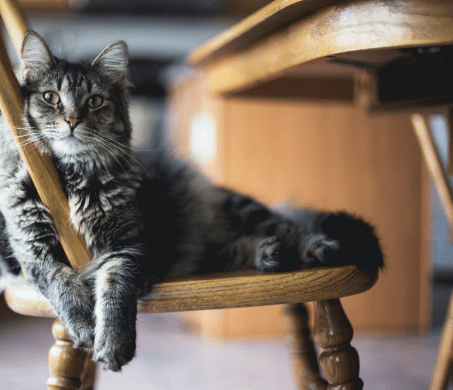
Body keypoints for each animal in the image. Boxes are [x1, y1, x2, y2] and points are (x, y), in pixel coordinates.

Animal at [0, 31, 384, 372]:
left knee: (291, 227)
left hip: (242, 212)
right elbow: (62, 286)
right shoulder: (35, 252)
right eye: (50, 97)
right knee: (233, 249)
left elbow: (114, 294)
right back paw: (267, 254)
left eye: (94, 101)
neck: (70, 178)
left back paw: (316, 248)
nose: (71, 121)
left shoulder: (129, 248)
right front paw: (83, 327)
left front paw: (112, 343)